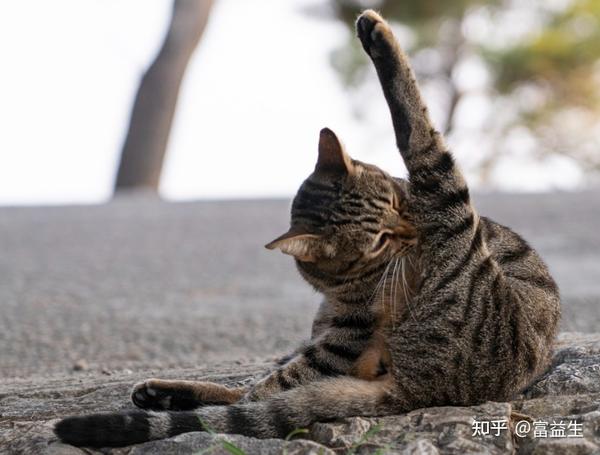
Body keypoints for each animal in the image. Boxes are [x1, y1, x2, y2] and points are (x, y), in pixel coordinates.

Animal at [54, 9, 560, 448]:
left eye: (398, 203)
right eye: (380, 240)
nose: (415, 233)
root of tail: (427, 392)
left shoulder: (350, 326)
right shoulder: (345, 329)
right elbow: (270, 386)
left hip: (445, 203)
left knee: (418, 133)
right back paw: (165, 396)